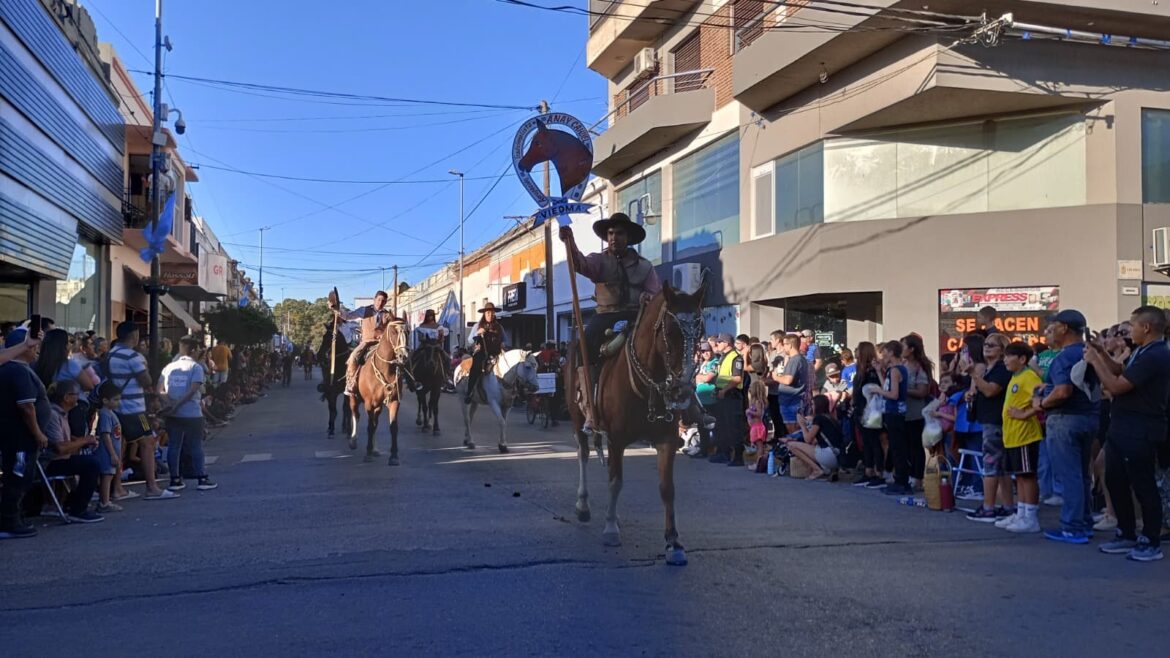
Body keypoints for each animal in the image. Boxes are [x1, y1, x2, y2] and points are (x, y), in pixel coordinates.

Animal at [346, 320, 411, 463]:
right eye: (394, 332)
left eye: (408, 332)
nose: (403, 356)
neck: (385, 369)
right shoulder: (369, 403)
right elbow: (369, 426)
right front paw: (368, 453)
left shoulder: (394, 401)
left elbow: (392, 427)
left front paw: (393, 456)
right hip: (353, 398)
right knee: (355, 414)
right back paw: (353, 441)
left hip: (378, 406)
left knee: (375, 422)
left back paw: (375, 449)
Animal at [563, 275, 706, 564]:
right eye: (670, 331)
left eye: (699, 332)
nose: (683, 390)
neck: (648, 383)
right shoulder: (616, 439)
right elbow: (615, 481)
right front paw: (610, 528)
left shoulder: (667, 440)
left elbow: (667, 488)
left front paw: (673, 542)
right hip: (576, 418)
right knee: (583, 454)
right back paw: (583, 505)